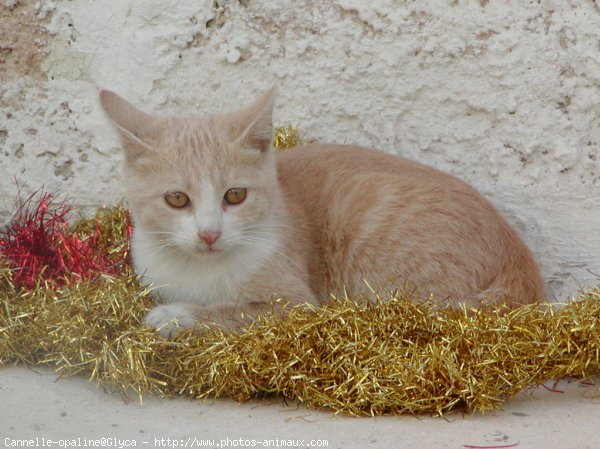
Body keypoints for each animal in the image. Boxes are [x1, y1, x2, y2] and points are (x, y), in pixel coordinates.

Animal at [98, 87, 544, 334]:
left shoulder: (295, 303)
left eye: (235, 195)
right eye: (177, 199)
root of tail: (517, 254)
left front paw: (176, 316)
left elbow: (236, 311)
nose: (210, 233)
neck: (199, 270)